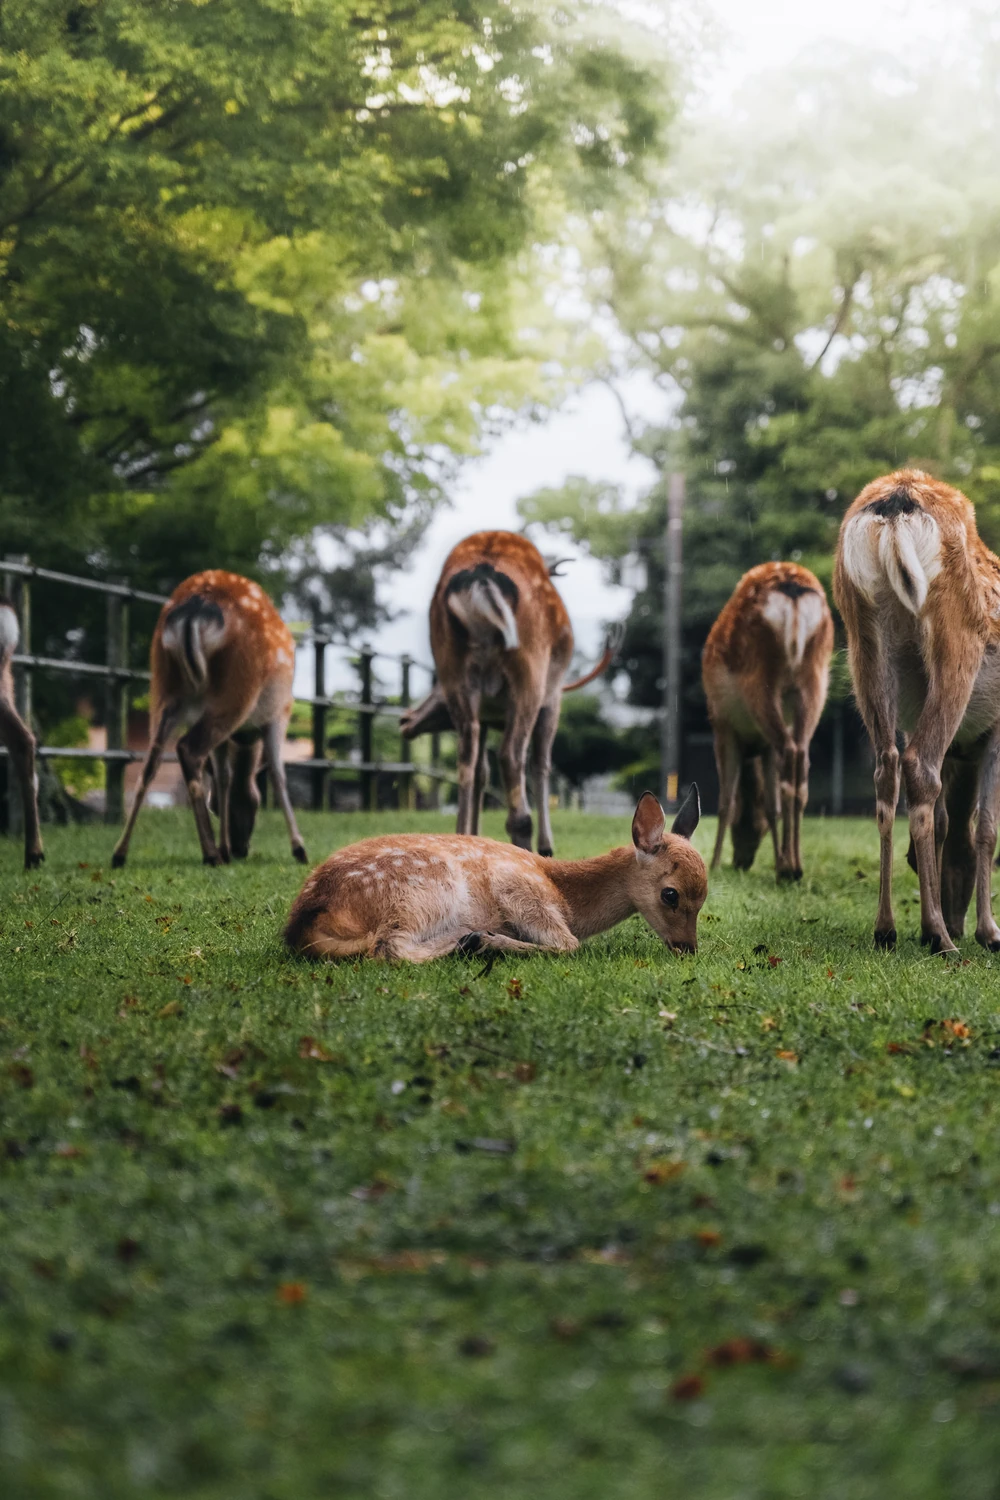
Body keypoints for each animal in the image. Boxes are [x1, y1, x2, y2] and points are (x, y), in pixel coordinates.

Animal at [111, 570, 307, 870]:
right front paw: (299, 848)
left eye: (215, 805)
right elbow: (278, 773)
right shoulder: (279, 711)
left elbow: (224, 775)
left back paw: (120, 853)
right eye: (257, 801)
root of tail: (196, 608)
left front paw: (225, 847)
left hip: (164, 687)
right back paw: (210, 853)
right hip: (236, 690)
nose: (240, 849)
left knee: (150, 763)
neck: (245, 737)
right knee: (188, 748)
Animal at [284, 786, 705, 962]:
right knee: (389, 946)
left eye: (704, 897)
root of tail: (304, 920)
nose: (688, 947)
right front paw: (490, 940)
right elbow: (568, 944)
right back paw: (467, 941)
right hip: (423, 889)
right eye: (670, 893)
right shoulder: (515, 883)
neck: (566, 895)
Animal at [399, 531, 620, 857]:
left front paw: (474, 833)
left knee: (466, 756)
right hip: (528, 672)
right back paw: (524, 839)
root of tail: (481, 576)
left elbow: (482, 771)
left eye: (434, 688)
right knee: (512, 755)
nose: (405, 720)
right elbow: (541, 764)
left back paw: (460, 836)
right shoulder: (552, 699)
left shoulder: (486, 714)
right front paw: (547, 846)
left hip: (456, 673)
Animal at [702, 562, 834, 882]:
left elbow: (725, 801)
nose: (741, 861)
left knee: (790, 751)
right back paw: (793, 865)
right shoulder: (764, 745)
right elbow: (772, 805)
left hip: (760, 679)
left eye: (749, 824)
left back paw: (789, 868)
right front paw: (775, 858)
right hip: (815, 680)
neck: (751, 745)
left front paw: (713, 864)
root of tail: (793, 591)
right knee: (801, 758)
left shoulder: (722, 726)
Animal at [834, 468, 1000, 955]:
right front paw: (990, 931)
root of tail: (896, 501)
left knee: (886, 767)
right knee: (920, 765)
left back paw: (887, 928)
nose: (958, 917)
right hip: (955, 637)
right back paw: (938, 935)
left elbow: (949, 823)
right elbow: (986, 828)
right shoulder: (997, 730)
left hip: (864, 642)